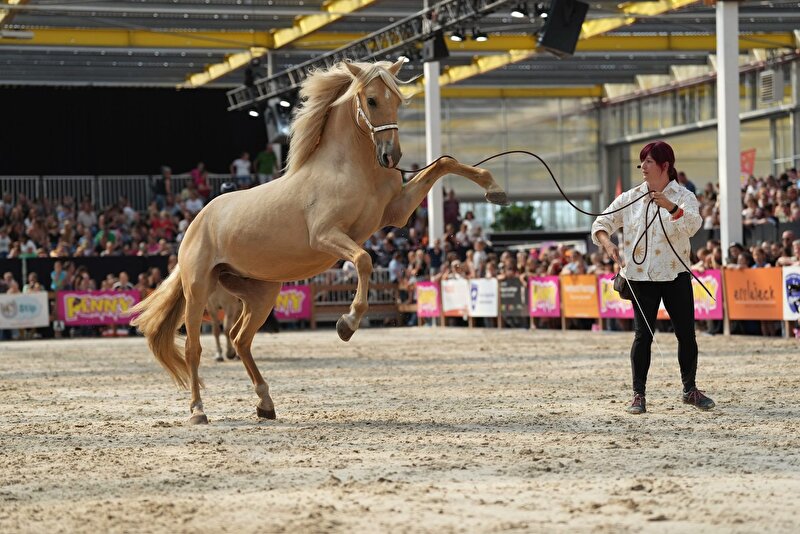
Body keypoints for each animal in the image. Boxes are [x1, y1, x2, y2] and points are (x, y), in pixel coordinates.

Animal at [131, 59, 509, 424]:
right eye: (371, 100)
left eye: (398, 101)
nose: (392, 157)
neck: (350, 168)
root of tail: (197, 222)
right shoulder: (328, 235)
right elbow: (364, 260)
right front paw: (347, 324)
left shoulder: (396, 214)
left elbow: (444, 163)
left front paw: (495, 189)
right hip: (199, 290)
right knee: (194, 347)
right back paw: (198, 411)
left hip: (260, 292)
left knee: (240, 339)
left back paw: (265, 404)